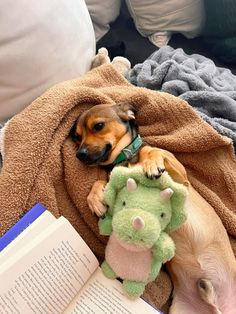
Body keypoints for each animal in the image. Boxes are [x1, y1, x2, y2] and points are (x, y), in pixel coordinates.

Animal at [72, 102, 236, 312]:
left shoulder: (181, 181)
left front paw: (151, 164)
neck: (126, 160)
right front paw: (95, 199)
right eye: (77, 137)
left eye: (98, 126)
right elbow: (100, 183)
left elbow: (153, 151)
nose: (79, 154)